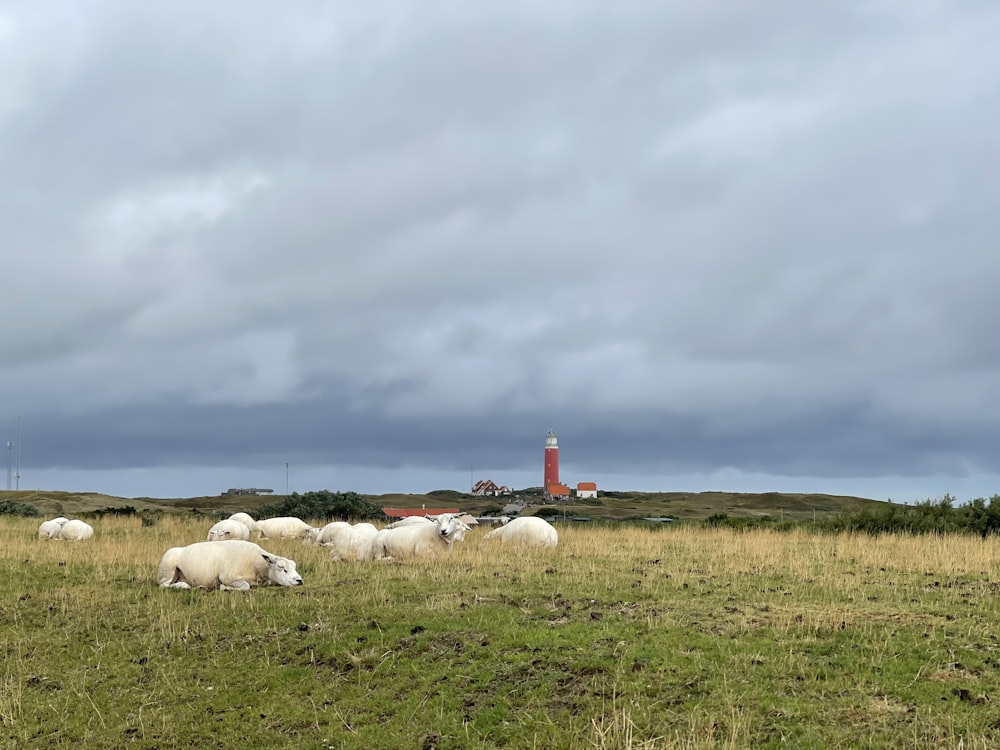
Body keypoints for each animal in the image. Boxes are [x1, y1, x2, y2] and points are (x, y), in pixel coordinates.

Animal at [156, 540, 302, 592]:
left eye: (294, 566)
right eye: (281, 567)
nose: (299, 580)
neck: (255, 562)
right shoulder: (227, 577)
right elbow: (245, 586)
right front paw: (224, 588)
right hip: (168, 572)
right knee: (165, 585)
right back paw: (184, 586)